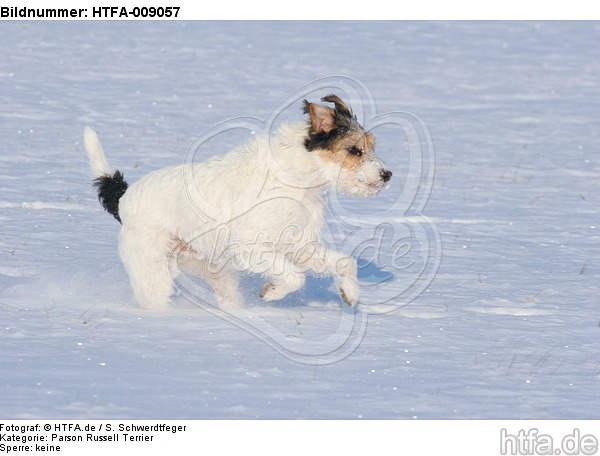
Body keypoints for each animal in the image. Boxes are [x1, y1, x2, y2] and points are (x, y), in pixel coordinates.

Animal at [85, 95, 394, 310]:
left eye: (372, 146)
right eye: (354, 150)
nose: (387, 175)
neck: (297, 181)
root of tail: (124, 199)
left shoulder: (301, 246)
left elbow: (345, 262)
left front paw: (349, 294)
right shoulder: (251, 247)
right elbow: (295, 277)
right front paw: (271, 292)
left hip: (215, 273)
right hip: (153, 274)